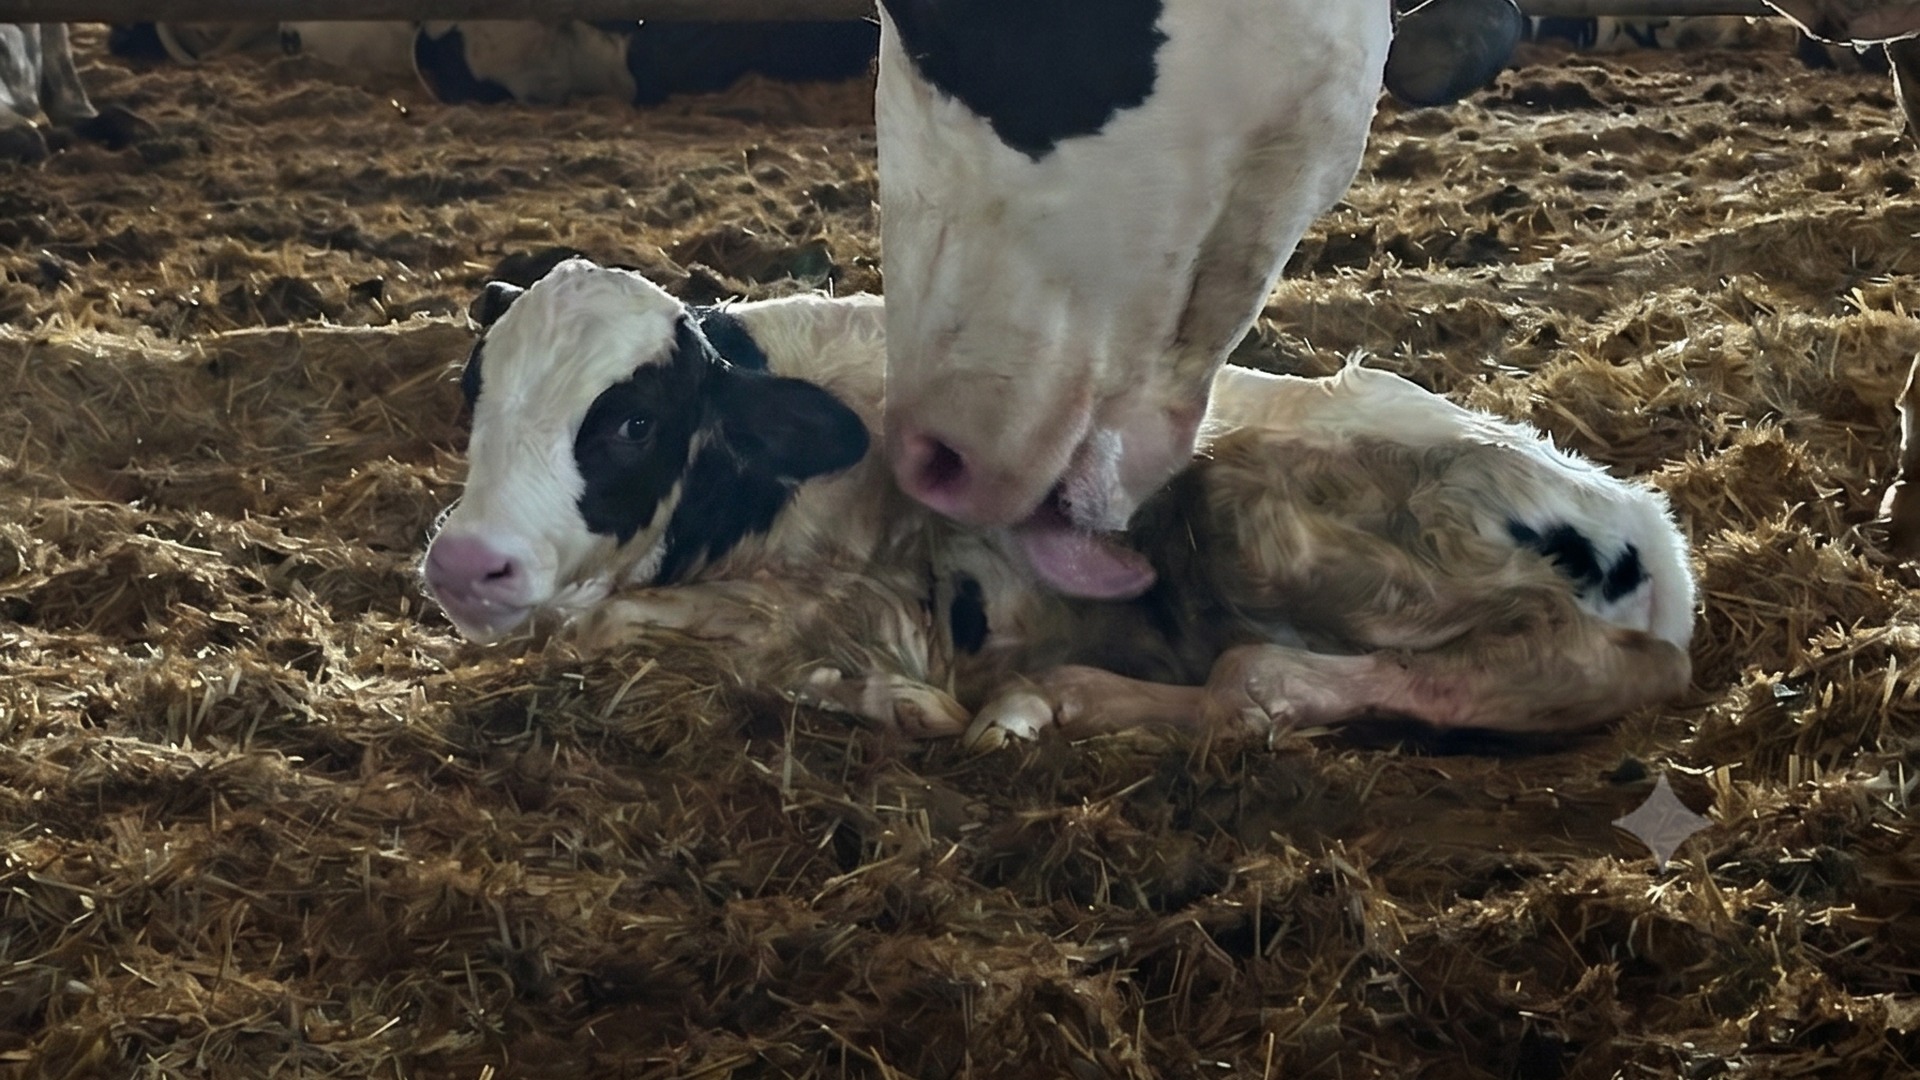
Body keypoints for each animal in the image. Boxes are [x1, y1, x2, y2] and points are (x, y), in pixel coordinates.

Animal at [420, 258, 1696, 745]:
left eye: (632, 422)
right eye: (474, 386)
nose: (464, 563)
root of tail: (1663, 552)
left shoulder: (895, 602)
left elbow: (599, 625)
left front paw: (892, 700)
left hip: (1262, 507)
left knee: (1266, 681)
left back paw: (1043, 701)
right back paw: (1055, 700)